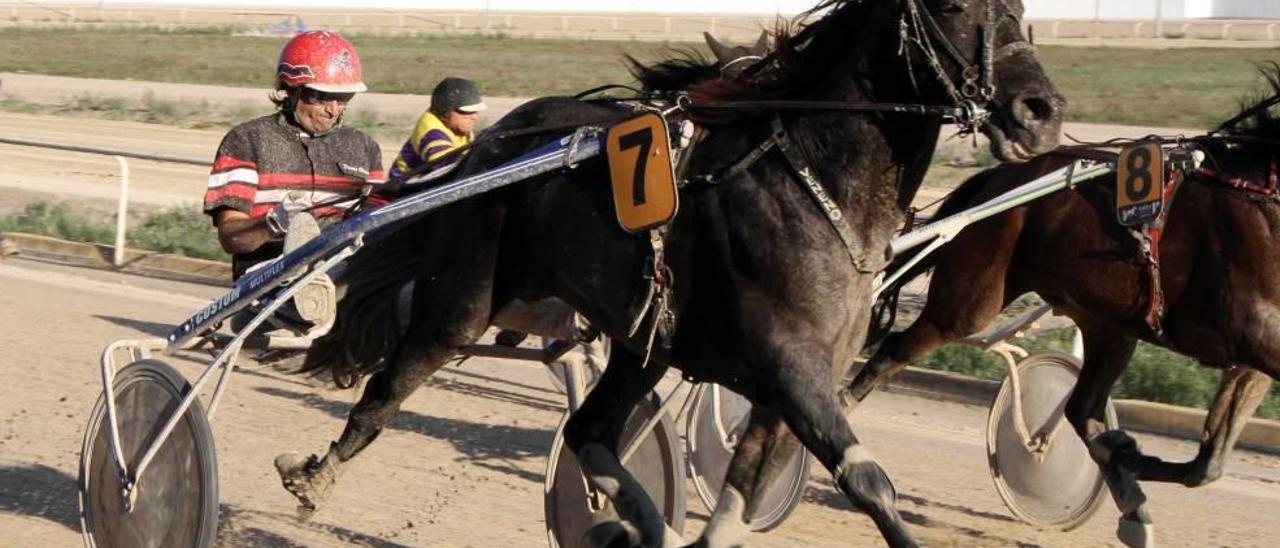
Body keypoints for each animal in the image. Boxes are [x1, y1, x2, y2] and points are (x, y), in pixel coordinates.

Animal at [282, 2, 1070, 545]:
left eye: (1019, 7)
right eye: (955, 6)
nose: (1042, 110)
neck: (818, 184)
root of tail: (496, 142)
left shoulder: (789, 382)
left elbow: (741, 497)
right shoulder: (793, 368)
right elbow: (870, 481)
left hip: (643, 342)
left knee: (590, 429)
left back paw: (637, 524)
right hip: (462, 300)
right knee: (389, 389)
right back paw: (314, 474)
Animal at [844, 73, 1280, 548]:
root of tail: (998, 178)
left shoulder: (1251, 355)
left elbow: (1209, 462)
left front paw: (1127, 460)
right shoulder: (1255, 333)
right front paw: (1126, 452)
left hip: (1109, 324)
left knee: (1081, 409)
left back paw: (1130, 497)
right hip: (968, 301)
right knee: (892, 350)